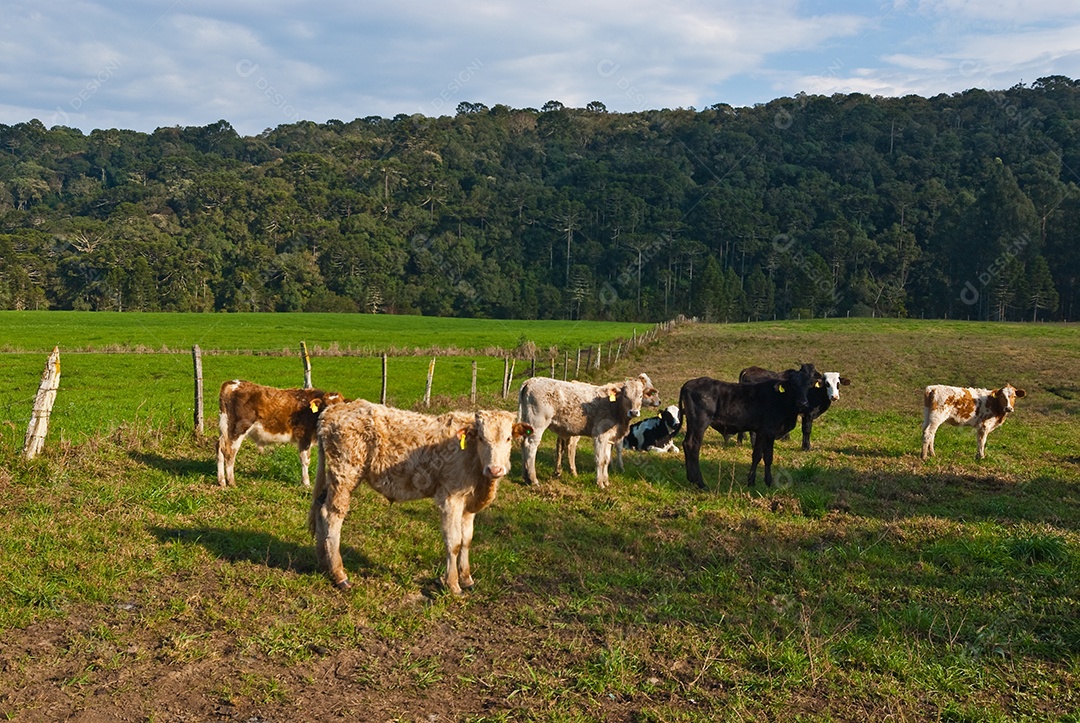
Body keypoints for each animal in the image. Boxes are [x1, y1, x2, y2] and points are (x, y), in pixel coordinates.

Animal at [308, 399, 531, 592]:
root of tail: (333, 410)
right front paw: (452, 584)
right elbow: (454, 541)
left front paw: (467, 578)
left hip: (333, 478)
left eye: (508, 438)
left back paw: (323, 563)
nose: (495, 469)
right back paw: (339, 574)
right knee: (331, 515)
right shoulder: (450, 497)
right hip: (345, 473)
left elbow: (467, 540)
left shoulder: (469, 505)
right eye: (482, 438)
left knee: (319, 507)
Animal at [516, 376, 656, 488]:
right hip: (537, 423)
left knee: (523, 444)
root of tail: (531, 380)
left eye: (640, 396)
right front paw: (600, 483)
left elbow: (606, 459)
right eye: (625, 395)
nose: (634, 412)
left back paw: (525, 477)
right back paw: (534, 479)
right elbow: (600, 459)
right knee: (530, 446)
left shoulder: (609, 437)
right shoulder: (599, 435)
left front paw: (606, 481)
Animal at [678, 363, 820, 488]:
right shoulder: (769, 432)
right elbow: (766, 457)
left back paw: (691, 479)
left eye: (807, 385)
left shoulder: (761, 432)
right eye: (792, 385)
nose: (803, 403)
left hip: (692, 425)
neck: (781, 400)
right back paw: (700, 483)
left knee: (686, 444)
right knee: (693, 446)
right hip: (700, 424)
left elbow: (758, 455)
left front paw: (753, 481)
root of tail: (689, 383)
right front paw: (767, 482)